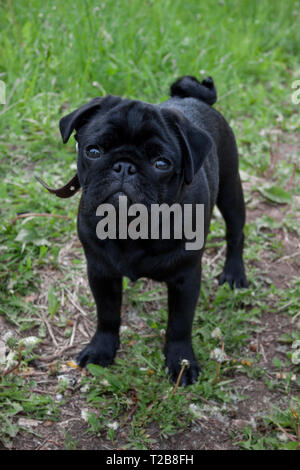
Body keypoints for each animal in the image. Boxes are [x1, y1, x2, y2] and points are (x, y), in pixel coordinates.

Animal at [37, 75, 247, 386]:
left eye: (162, 163)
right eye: (93, 151)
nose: (125, 166)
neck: (132, 226)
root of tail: (193, 98)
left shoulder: (186, 279)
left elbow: (179, 325)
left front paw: (181, 362)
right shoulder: (100, 272)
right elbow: (107, 314)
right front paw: (101, 349)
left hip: (231, 191)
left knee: (236, 234)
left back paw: (234, 274)